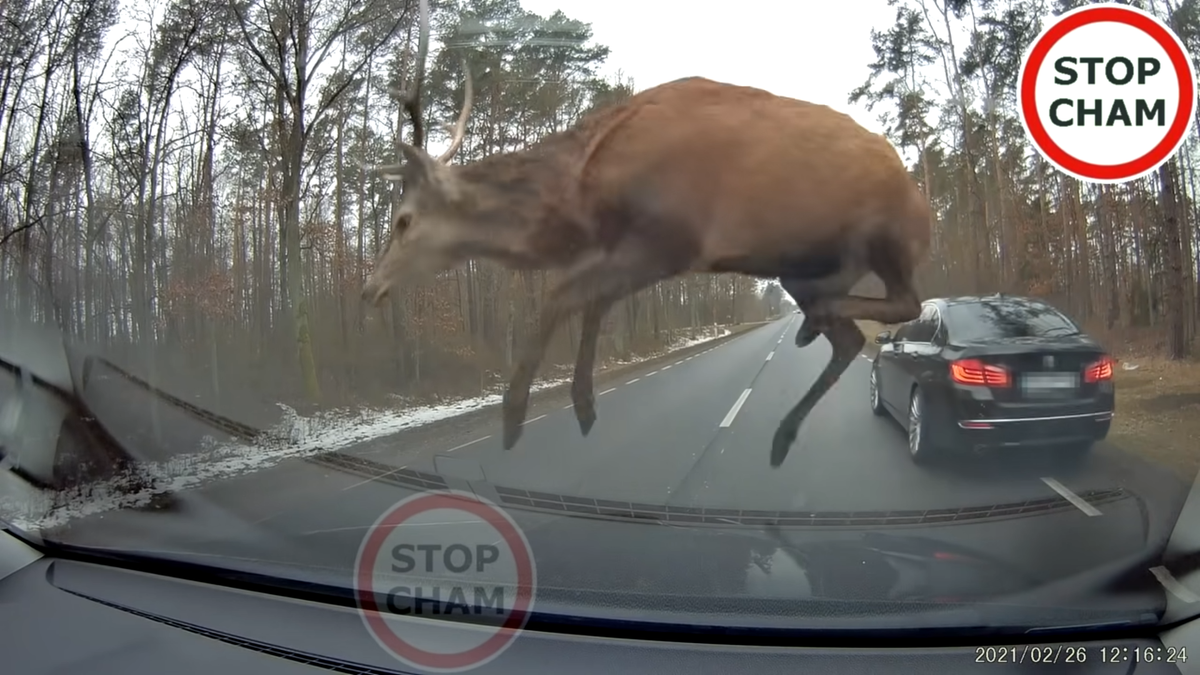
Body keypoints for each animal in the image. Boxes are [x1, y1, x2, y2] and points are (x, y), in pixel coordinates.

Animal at [360, 0, 931, 466]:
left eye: (403, 219)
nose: (369, 289)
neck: (583, 193)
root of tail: (919, 196)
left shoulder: (669, 239)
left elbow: (561, 293)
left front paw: (516, 413)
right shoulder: (633, 247)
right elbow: (590, 301)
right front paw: (582, 404)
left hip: (884, 238)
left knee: (907, 301)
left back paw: (814, 331)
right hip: (799, 269)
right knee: (850, 336)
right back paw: (787, 419)